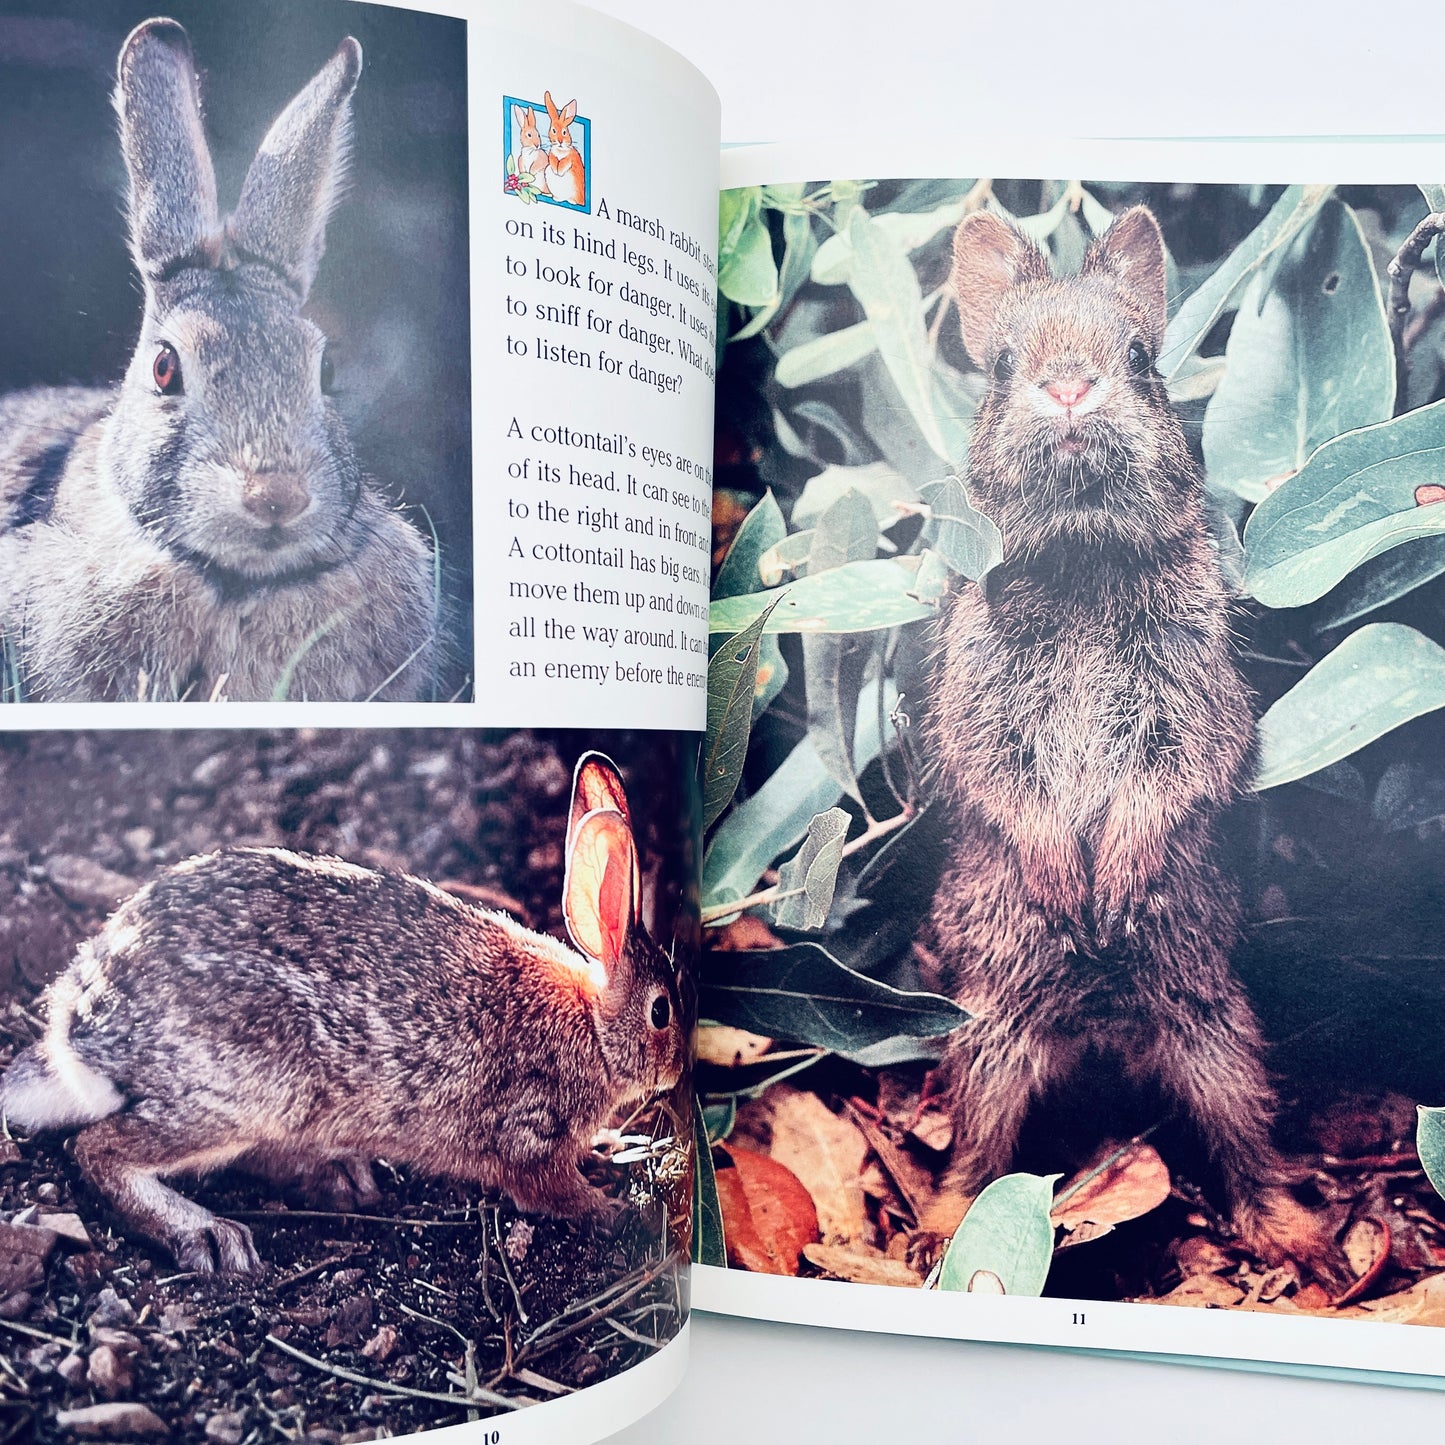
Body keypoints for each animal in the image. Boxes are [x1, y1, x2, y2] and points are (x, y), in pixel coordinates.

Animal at [0, 752, 687, 1274]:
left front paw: (612, 1150)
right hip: (256, 1087)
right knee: (98, 1148)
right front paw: (618, 1212)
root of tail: (78, 1037)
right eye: (661, 1012)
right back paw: (209, 1234)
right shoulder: (527, 1136)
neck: (591, 1025)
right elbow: (551, 1191)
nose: (679, 1072)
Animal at [916, 206, 1348, 1286]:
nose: (1069, 387)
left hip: (1213, 1030)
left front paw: (1108, 883)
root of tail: (1104, 1034)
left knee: (1245, 1138)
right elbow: (1009, 787)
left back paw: (1296, 1238)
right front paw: (1066, 883)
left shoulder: (1187, 706)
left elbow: (1166, 783)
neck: (1079, 558)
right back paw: (939, 1228)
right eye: (999, 366)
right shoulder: (983, 713)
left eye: (1141, 358)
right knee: (976, 1146)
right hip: (991, 1035)